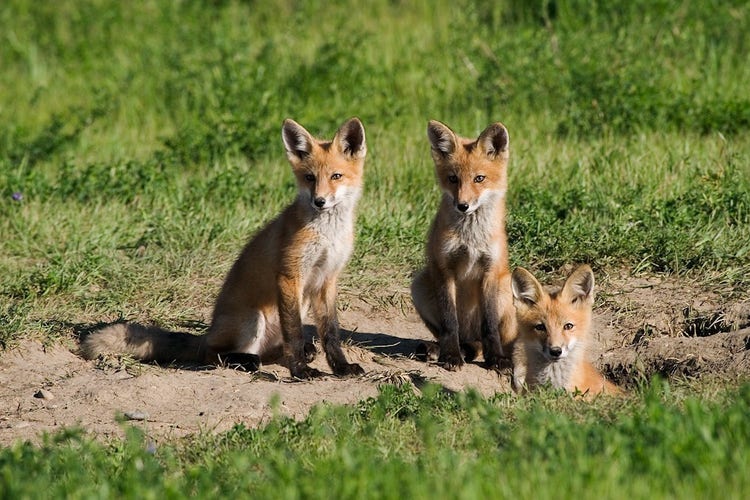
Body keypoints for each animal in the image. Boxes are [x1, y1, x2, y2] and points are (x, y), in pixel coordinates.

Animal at [81, 117, 367, 379]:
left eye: (336, 176)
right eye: (310, 178)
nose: (319, 201)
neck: (328, 236)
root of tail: (207, 334)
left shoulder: (326, 279)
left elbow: (330, 333)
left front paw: (341, 368)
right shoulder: (290, 275)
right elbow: (294, 333)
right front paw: (300, 371)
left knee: (269, 352)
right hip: (252, 319)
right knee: (214, 354)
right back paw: (246, 361)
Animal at [410, 120, 517, 371]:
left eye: (479, 178)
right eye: (453, 179)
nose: (462, 206)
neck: (471, 239)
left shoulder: (490, 270)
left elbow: (490, 327)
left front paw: (496, 358)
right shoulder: (444, 268)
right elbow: (450, 323)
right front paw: (450, 355)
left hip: (506, 288)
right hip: (419, 285)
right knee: (461, 340)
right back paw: (443, 349)